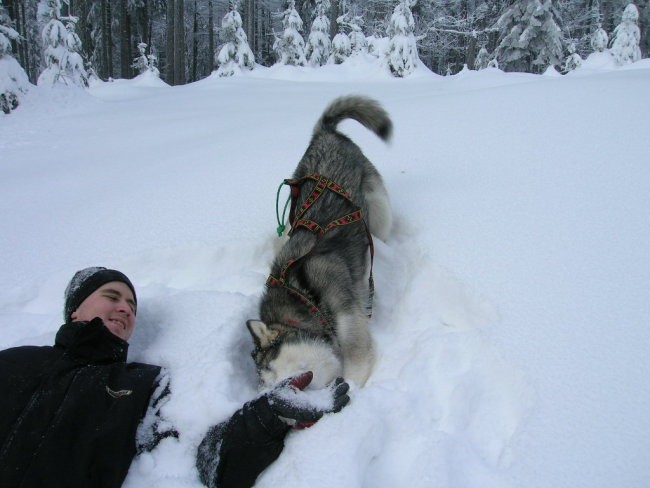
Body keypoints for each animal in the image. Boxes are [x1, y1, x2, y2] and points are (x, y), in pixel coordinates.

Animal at [247, 96, 390, 388]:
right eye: (263, 383)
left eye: (269, 370)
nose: (272, 393)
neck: (302, 295)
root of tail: (324, 132)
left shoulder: (347, 315)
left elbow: (356, 365)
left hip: (379, 207)